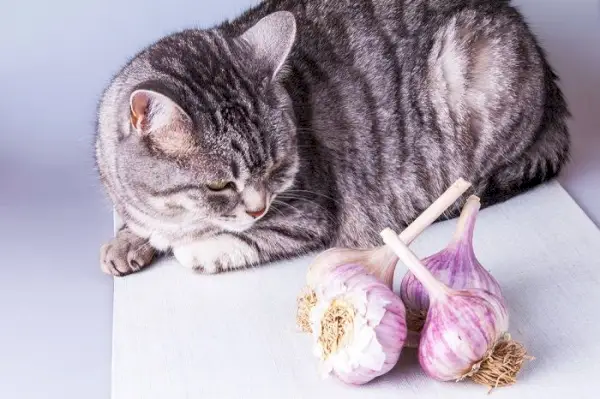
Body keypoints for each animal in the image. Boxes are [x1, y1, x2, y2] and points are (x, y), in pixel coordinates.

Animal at [94, 0, 568, 278]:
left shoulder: (309, 213)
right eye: (219, 184)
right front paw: (128, 241)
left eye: (277, 167)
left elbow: (246, 237)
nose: (259, 205)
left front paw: (200, 247)